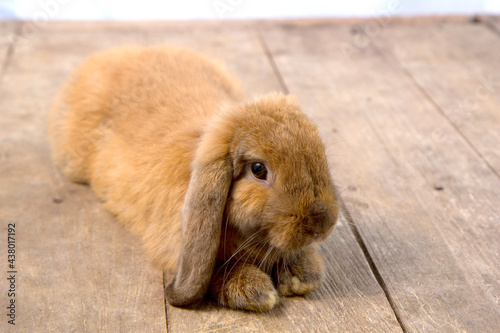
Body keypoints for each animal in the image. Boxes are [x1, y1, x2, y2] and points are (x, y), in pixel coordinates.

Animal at [48, 44, 338, 312]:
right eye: (258, 169)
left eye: (320, 154)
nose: (320, 225)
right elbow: (211, 273)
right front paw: (254, 290)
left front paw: (302, 275)